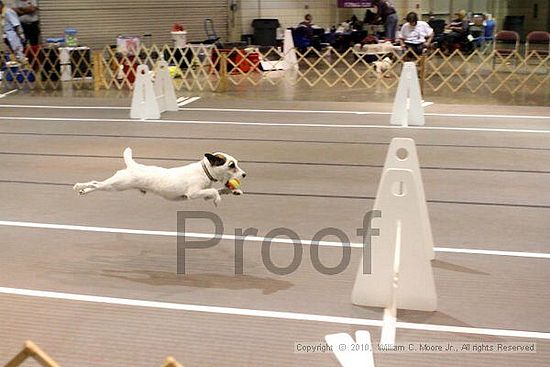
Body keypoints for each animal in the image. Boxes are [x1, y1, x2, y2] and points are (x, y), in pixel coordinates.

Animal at [73, 149, 248, 207]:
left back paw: (83, 191)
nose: (244, 174)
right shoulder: (193, 194)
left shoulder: (203, 194)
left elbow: (217, 190)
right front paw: (218, 200)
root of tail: (132, 166)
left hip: (113, 185)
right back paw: (79, 186)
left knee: (96, 185)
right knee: (96, 184)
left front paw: (234, 191)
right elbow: (214, 192)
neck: (204, 171)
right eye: (231, 165)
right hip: (116, 185)